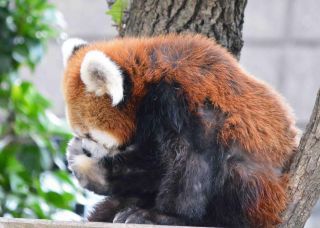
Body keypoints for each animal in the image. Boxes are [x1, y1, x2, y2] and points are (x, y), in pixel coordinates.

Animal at [62, 33, 298, 226]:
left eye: (90, 135)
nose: (87, 150)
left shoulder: (185, 102)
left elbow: (191, 159)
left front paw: (163, 216)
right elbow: (153, 162)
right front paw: (93, 169)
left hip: (252, 186)